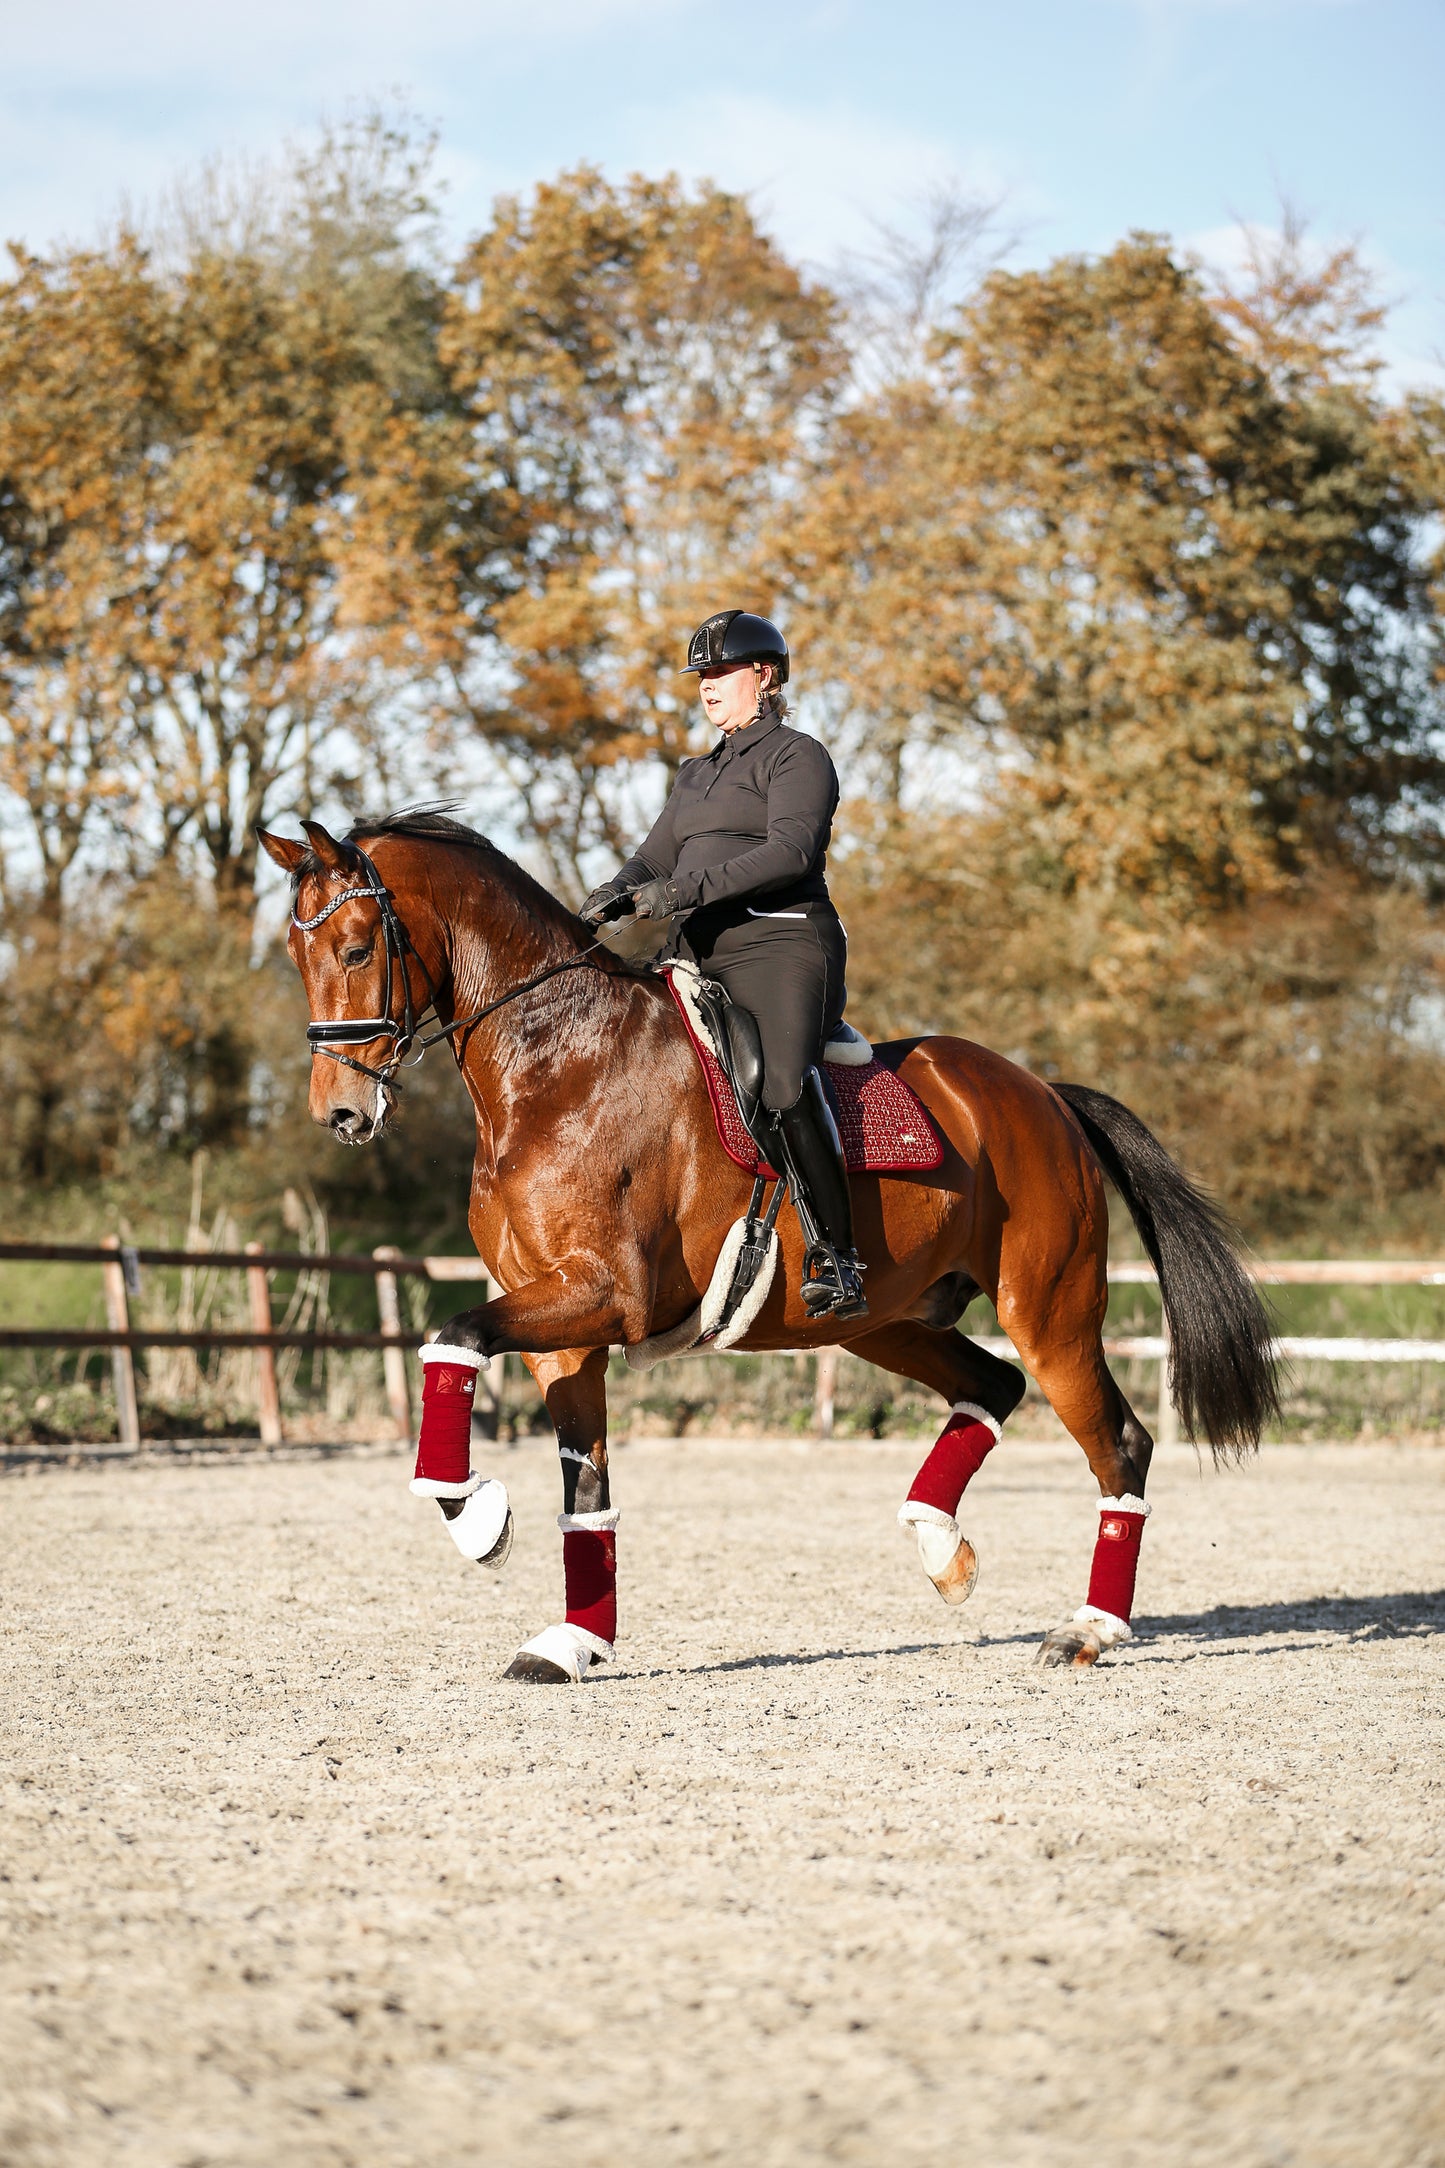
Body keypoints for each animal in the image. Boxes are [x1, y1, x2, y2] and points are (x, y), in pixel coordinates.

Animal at [256, 810, 1273, 1673]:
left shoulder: (604, 1297)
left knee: (1118, 1441)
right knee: (993, 1386)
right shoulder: (564, 1332)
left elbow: (450, 1338)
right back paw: (941, 1548)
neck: (558, 1065)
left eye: (356, 947)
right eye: (296, 956)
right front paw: (572, 1642)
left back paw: (1087, 1629)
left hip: (1046, 1309)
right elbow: (584, 1490)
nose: (339, 1113)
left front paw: (476, 1518)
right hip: (885, 1321)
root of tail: (1042, 1095)